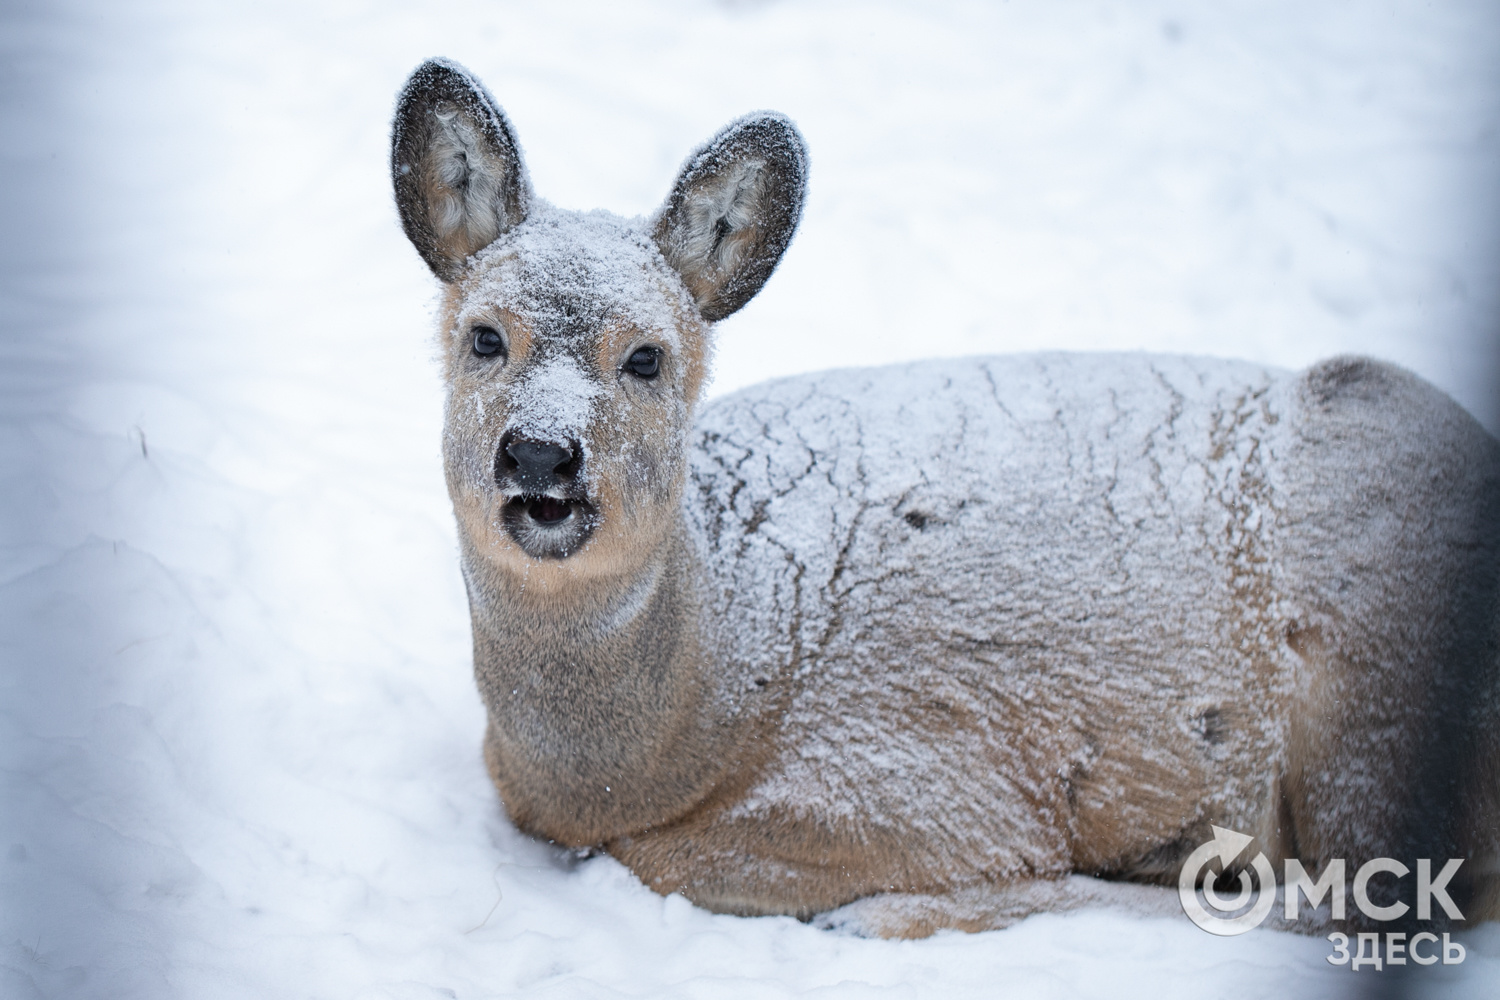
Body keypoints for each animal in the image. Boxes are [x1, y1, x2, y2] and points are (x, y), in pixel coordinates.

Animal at [390, 60, 1500, 941]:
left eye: (648, 357)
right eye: (485, 336)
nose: (542, 456)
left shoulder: (927, 773)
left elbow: (688, 859)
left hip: (1385, 666)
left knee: (1380, 893)